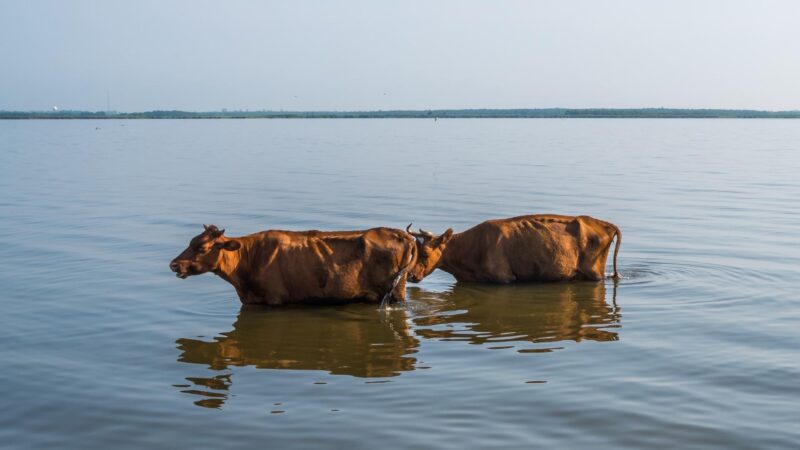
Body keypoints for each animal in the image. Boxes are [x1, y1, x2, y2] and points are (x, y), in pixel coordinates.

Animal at [170, 225, 454, 306]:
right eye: (191, 241)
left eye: (202, 247)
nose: (174, 264)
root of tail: (400, 233)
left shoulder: (273, 300)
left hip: (395, 291)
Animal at [406, 215, 620, 284]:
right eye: (414, 251)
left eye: (425, 253)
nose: (410, 276)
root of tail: (604, 223)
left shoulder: (504, 278)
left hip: (594, 273)